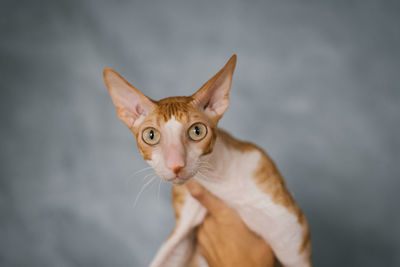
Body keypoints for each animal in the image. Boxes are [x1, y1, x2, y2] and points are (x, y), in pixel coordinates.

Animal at [102, 55, 310, 267]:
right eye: (151, 135)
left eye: (197, 131)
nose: (176, 165)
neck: (216, 181)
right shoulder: (185, 225)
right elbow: (164, 258)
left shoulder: (291, 229)